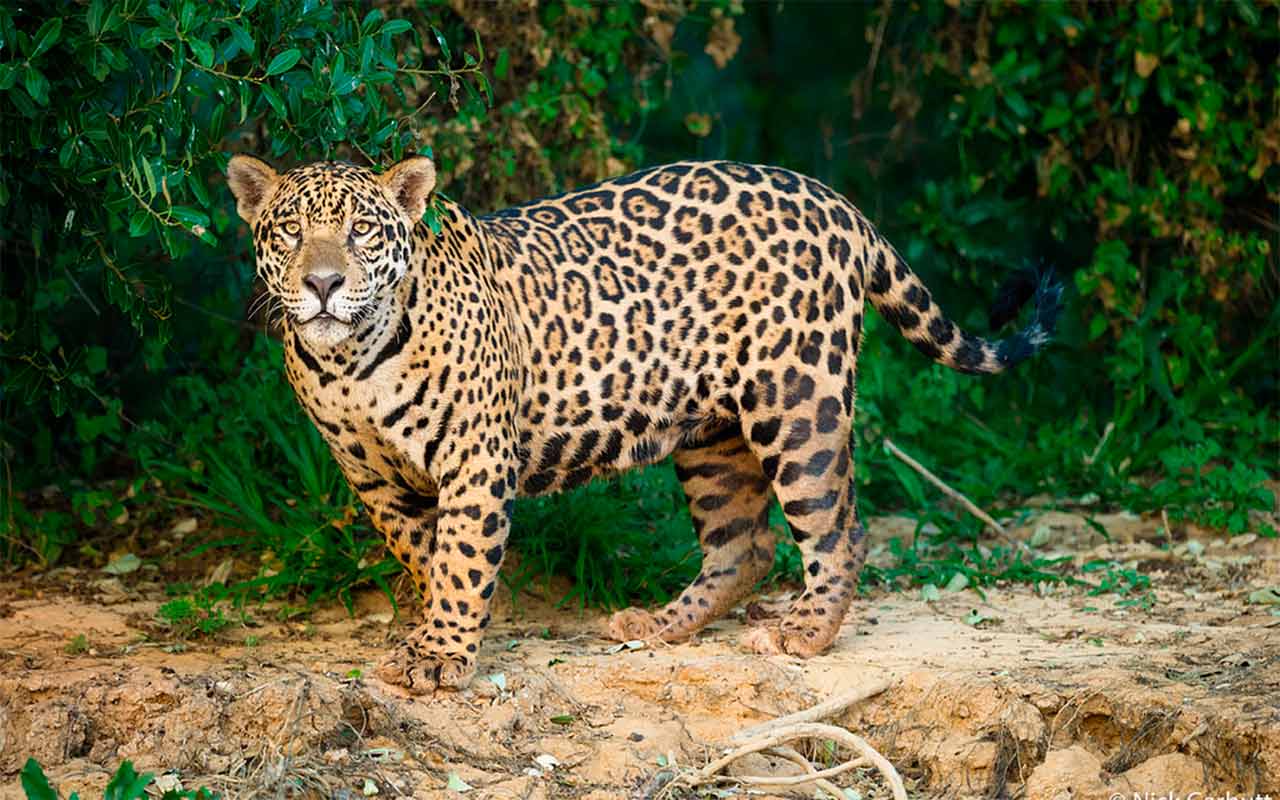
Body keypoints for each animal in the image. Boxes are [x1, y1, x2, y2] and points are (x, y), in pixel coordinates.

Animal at [226, 154, 1061, 694]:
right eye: (289, 232)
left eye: (362, 233)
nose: (323, 283)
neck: (352, 361)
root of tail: (831, 197)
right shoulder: (372, 479)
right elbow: (428, 554)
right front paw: (437, 631)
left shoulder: (474, 459)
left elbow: (462, 558)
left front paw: (440, 656)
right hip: (712, 434)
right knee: (744, 545)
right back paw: (658, 626)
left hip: (799, 399)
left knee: (839, 528)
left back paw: (804, 632)